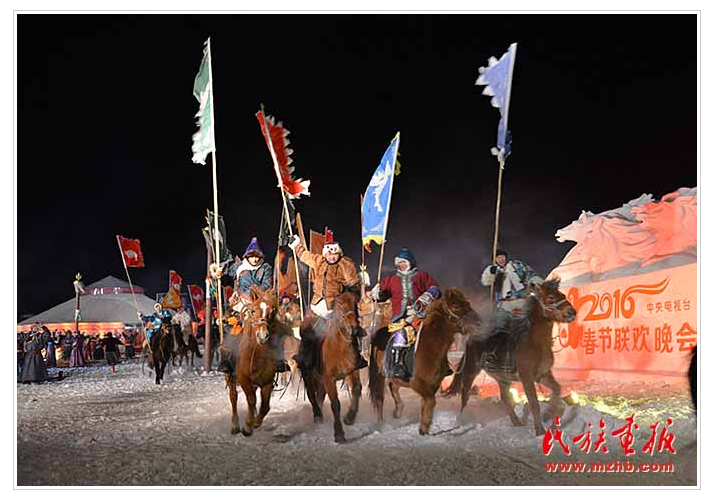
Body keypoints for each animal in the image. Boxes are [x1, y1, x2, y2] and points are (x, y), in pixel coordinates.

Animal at [222, 287, 293, 436]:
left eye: (272, 311)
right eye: (253, 311)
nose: (262, 336)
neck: (257, 355)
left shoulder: (267, 382)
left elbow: (265, 406)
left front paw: (255, 422)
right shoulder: (244, 379)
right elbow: (251, 400)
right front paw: (247, 426)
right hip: (229, 377)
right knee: (233, 397)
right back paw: (235, 425)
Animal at [296, 291, 364, 443]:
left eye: (355, 302)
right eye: (340, 302)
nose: (353, 328)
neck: (339, 347)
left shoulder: (351, 371)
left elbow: (357, 389)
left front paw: (349, 418)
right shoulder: (329, 379)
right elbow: (335, 404)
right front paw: (339, 434)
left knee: (320, 395)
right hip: (308, 374)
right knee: (311, 394)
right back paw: (317, 415)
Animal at [368, 288, 481, 435]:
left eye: (467, 304)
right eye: (456, 306)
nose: (479, 323)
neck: (430, 348)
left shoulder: (433, 384)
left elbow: (426, 403)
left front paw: (424, 428)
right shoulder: (417, 382)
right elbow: (430, 401)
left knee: (393, 386)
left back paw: (398, 411)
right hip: (379, 375)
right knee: (379, 398)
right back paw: (381, 424)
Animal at [450, 277, 577, 436]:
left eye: (562, 295)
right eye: (551, 297)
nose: (572, 312)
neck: (535, 343)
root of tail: (472, 338)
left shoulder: (542, 375)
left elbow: (557, 390)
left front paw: (548, 415)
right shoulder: (527, 377)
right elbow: (534, 403)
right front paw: (540, 430)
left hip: (502, 378)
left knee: (505, 398)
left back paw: (516, 422)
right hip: (470, 371)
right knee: (465, 394)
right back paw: (462, 421)